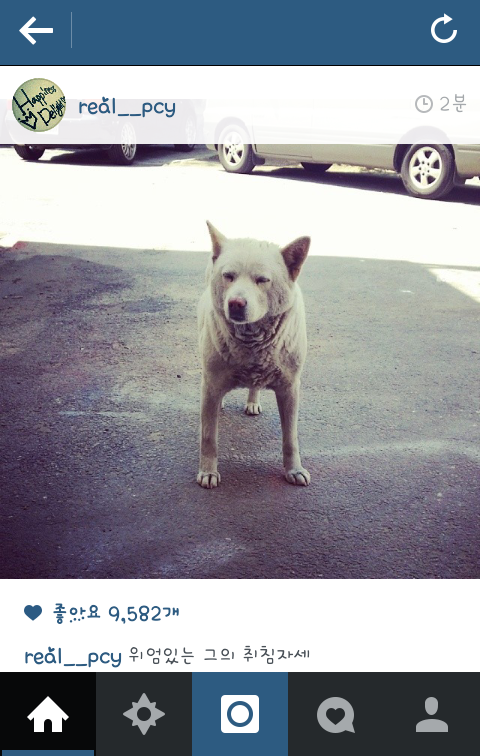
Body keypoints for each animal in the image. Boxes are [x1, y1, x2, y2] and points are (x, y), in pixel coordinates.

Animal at [197, 222, 311, 489]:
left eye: (262, 280)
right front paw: (208, 471)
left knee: (254, 386)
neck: (251, 344)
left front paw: (294, 469)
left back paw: (252, 400)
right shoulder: (210, 384)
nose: (236, 303)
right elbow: (209, 437)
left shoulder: (290, 389)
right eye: (228, 276)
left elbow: (290, 437)